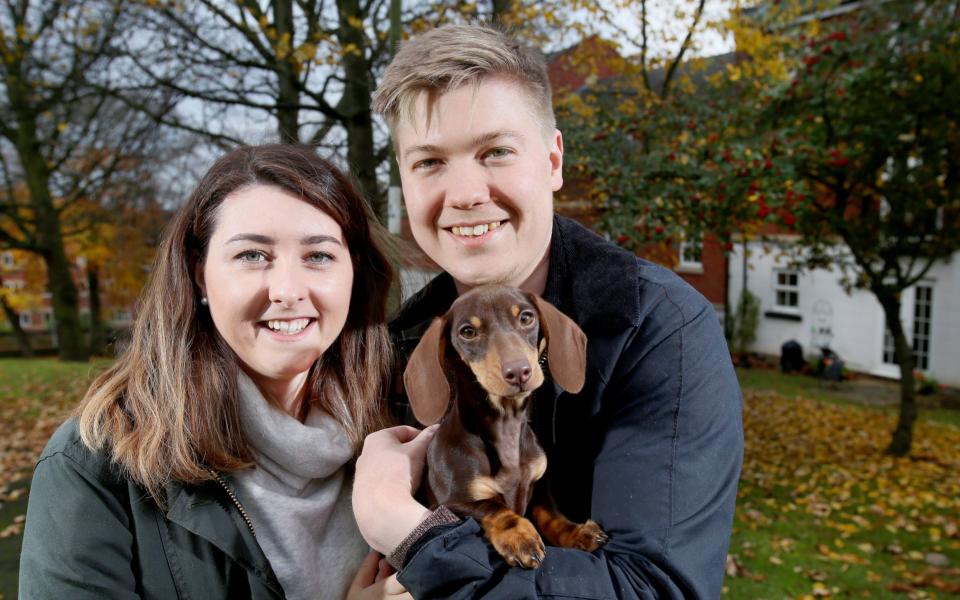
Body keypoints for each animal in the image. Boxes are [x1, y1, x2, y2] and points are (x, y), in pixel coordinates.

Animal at [404, 284, 608, 568]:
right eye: (468, 332)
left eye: (526, 318)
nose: (518, 372)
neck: (506, 426)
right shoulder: (451, 503)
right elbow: (494, 507)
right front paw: (520, 536)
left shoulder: (539, 489)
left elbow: (551, 515)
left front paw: (577, 532)